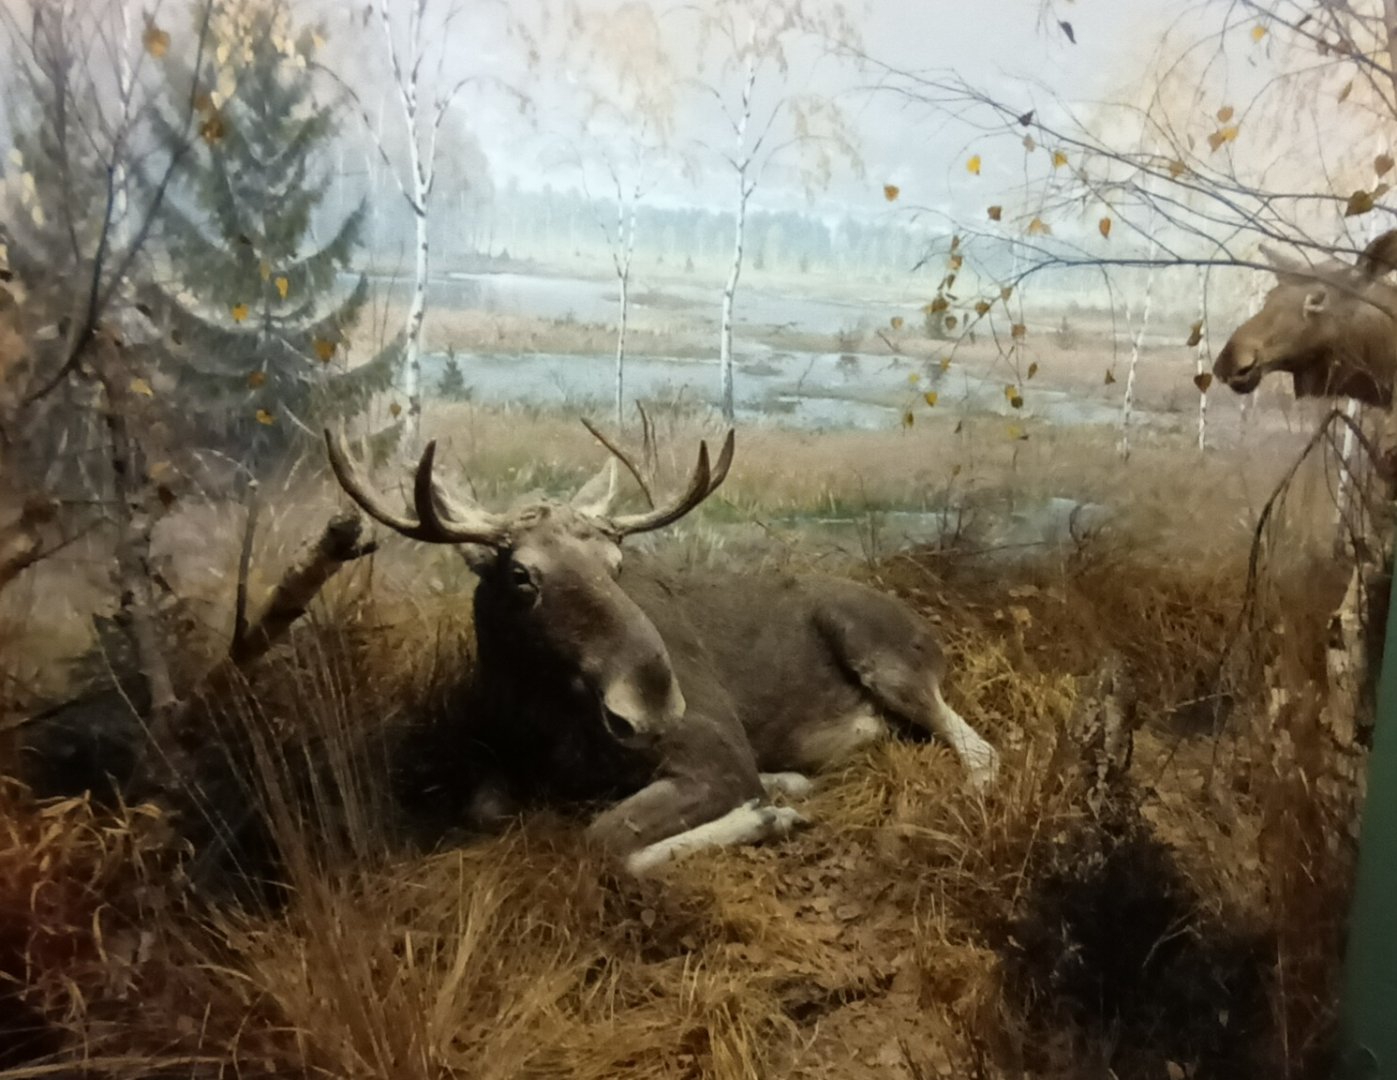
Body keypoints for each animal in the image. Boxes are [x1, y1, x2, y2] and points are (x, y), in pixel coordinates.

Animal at [324, 427, 999, 875]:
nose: (651, 707)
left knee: (981, 750)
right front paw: (776, 796)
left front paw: (767, 815)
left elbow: (603, 842)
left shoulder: (718, 749)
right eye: (521, 576)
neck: (540, 720)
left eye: (617, 563)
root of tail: (928, 630)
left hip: (881, 652)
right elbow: (487, 810)